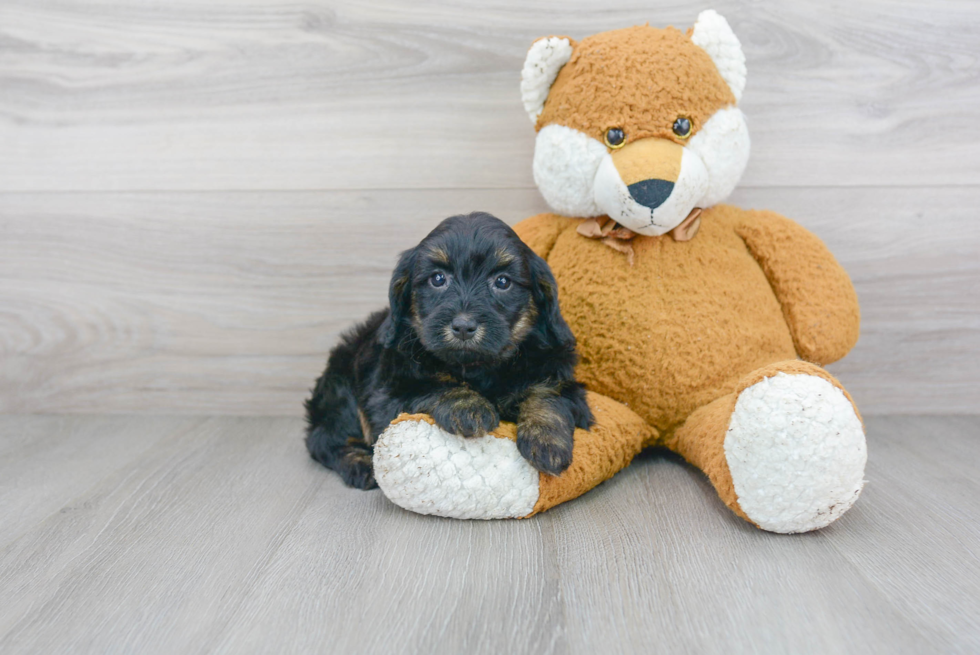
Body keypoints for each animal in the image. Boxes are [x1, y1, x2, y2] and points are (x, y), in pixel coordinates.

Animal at [306, 213, 592, 490]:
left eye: (502, 282)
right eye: (438, 279)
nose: (464, 326)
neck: (477, 367)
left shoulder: (558, 373)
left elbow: (548, 392)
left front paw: (547, 440)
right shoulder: (387, 393)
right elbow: (431, 385)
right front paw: (467, 406)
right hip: (340, 387)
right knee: (325, 439)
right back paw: (360, 463)